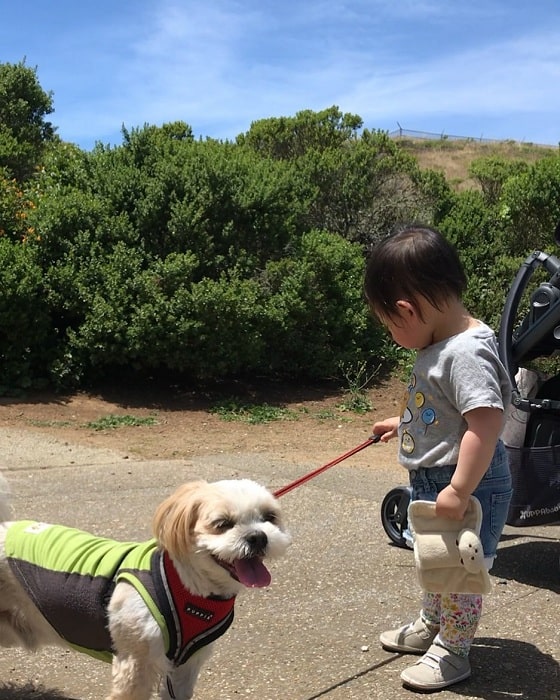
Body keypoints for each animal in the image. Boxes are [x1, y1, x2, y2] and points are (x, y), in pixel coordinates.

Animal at [0, 476, 290, 700]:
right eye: (222, 523)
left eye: (269, 517)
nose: (258, 537)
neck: (189, 590)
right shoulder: (136, 664)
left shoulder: (186, 666)